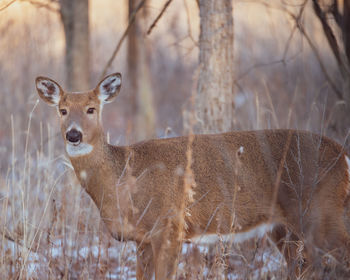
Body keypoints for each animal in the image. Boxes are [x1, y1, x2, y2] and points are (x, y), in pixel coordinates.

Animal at [36, 72, 350, 280]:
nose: (73, 134)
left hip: (321, 212)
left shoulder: (169, 226)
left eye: (91, 109)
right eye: (62, 110)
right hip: (284, 228)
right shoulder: (142, 239)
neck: (122, 181)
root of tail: (343, 154)